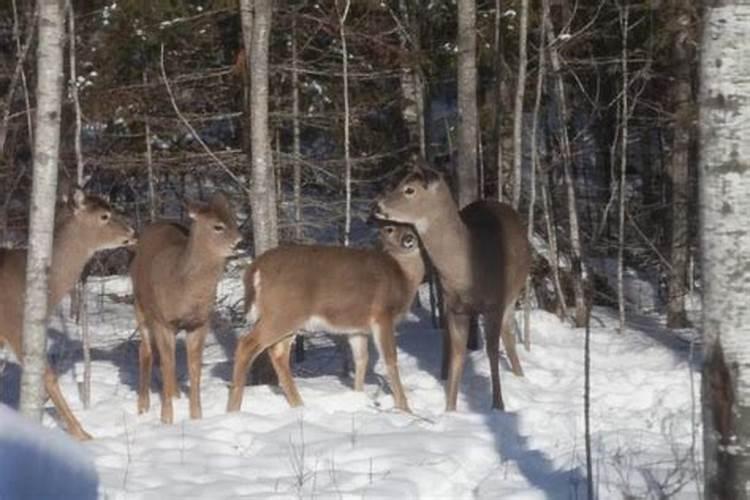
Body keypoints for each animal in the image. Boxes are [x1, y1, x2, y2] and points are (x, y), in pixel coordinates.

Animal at [129, 193, 241, 424]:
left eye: (234, 220)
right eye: (217, 226)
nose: (239, 242)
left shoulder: (200, 323)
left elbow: (194, 367)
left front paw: (196, 417)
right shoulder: (162, 321)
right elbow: (168, 363)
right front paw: (166, 419)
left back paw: (175, 393)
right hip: (140, 307)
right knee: (145, 350)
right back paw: (143, 406)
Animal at [226, 225, 426, 412]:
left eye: (413, 227)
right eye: (389, 229)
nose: (409, 239)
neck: (403, 279)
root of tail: (255, 268)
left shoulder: (357, 329)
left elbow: (361, 359)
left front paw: (358, 397)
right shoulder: (383, 314)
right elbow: (390, 358)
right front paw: (404, 407)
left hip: (288, 318)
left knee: (278, 353)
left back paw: (298, 405)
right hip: (282, 312)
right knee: (246, 344)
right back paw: (233, 409)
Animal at [374, 166, 528, 412]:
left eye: (409, 189)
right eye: (398, 183)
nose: (378, 206)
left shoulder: (494, 303)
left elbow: (492, 351)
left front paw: (498, 404)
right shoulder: (455, 307)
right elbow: (458, 354)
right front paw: (450, 408)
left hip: (513, 293)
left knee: (508, 331)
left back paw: (519, 375)